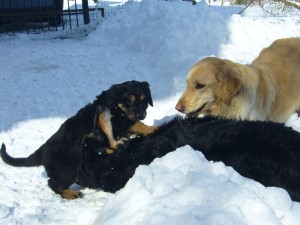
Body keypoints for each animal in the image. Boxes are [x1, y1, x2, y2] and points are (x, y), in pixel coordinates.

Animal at [1, 80, 157, 199]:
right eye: (129, 101)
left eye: (144, 101)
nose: (141, 114)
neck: (114, 106)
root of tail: (40, 151)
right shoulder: (119, 122)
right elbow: (136, 124)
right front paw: (153, 128)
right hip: (66, 169)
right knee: (53, 183)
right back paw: (71, 194)